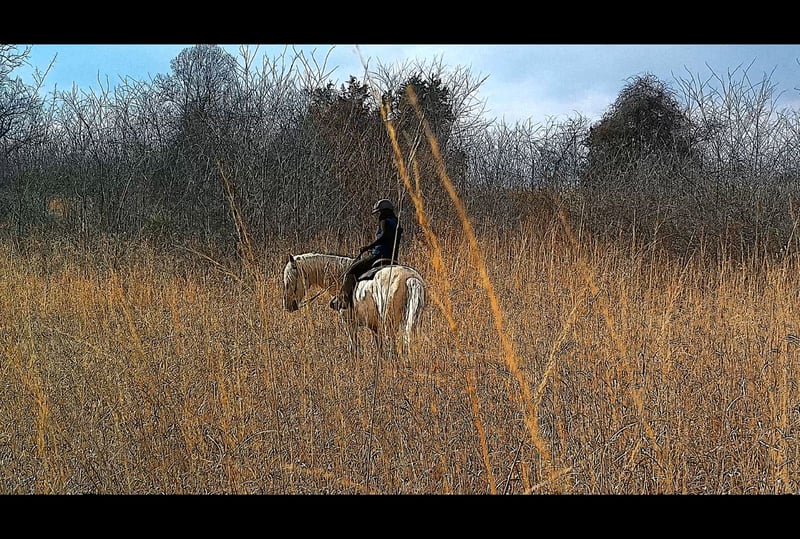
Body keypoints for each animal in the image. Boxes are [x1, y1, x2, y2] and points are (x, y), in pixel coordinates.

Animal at [281, 252, 426, 356]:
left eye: (289, 280)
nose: (288, 306)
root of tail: (411, 278)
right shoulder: (375, 328)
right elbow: (379, 350)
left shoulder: (349, 323)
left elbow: (354, 347)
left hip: (389, 325)